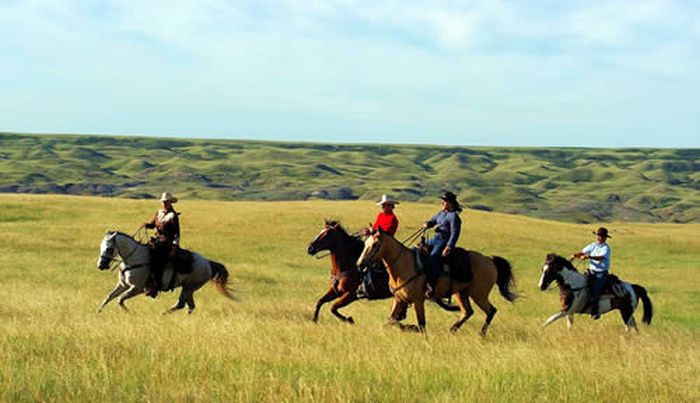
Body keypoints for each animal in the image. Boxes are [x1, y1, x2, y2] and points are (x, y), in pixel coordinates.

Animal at [95, 232, 235, 314]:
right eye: (101, 247)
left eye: (109, 249)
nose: (101, 266)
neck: (134, 257)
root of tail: (207, 262)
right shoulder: (123, 285)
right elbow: (109, 296)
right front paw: (98, 311)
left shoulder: (137, 288)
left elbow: (120, 299)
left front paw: (130, 313)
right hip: (188, 288)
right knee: (189, 306)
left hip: (189, 287)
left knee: (182, 304)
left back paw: (163, 314)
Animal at [358, 229, 516, 336]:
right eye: (365, 244)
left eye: (375, 244)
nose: (360, 264)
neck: (404, 264)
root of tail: (490, 260)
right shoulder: (399, 299)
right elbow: (391, 320)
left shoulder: (418, 300)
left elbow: (421, 325)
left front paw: (412, 328)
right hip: (461, 293)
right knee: (467, 311)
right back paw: (453, 329)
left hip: (479, 294)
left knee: (491, 310)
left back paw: (481, 334)